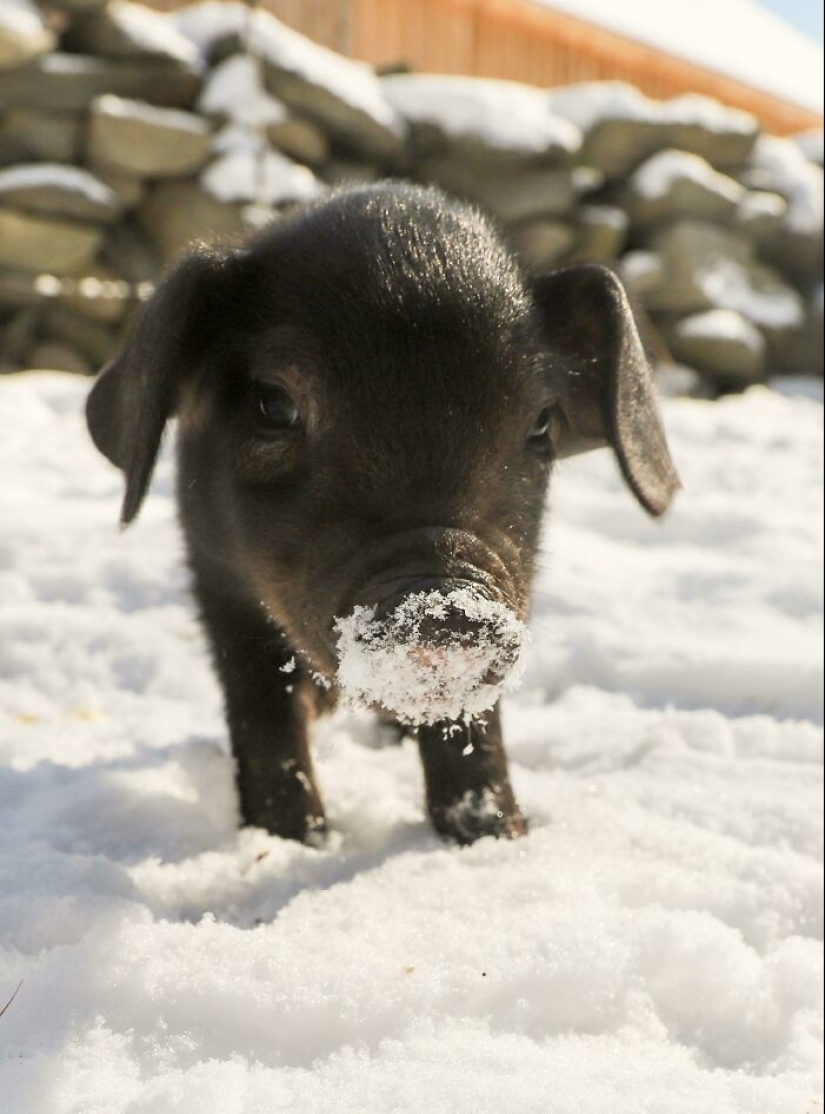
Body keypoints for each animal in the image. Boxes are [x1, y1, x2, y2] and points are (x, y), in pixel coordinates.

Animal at [86, 182, 680, 846]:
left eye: (541, 421)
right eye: (275, 404)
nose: (445, 606)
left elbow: (471, 731)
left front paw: (494, 837)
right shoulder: (218, 580)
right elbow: (262, 710)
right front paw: (296, 840)